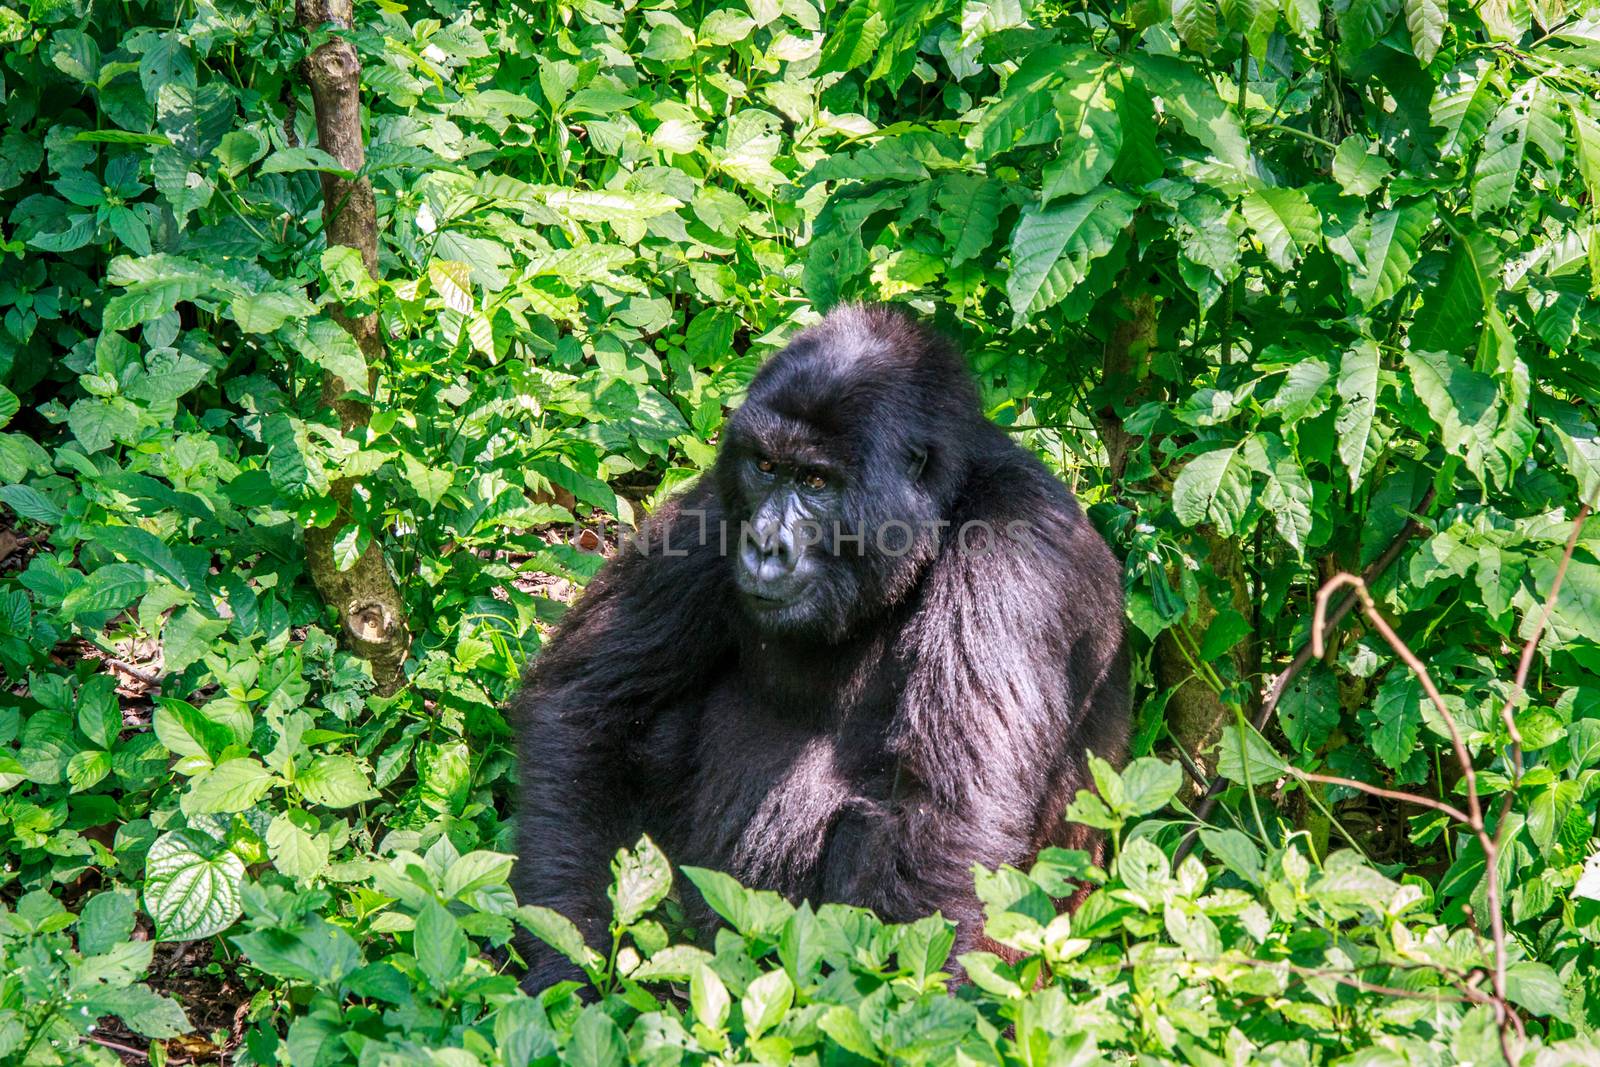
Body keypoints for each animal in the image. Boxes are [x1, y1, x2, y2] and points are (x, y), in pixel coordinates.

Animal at [508, 303, 1126, 991]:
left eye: (815, 480)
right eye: (765, 467)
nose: (765, 545)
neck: (939, 517)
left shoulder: (1014, 557)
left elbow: (944, 825)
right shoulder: (714, 506)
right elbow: (587, 705)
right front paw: (568, 970)